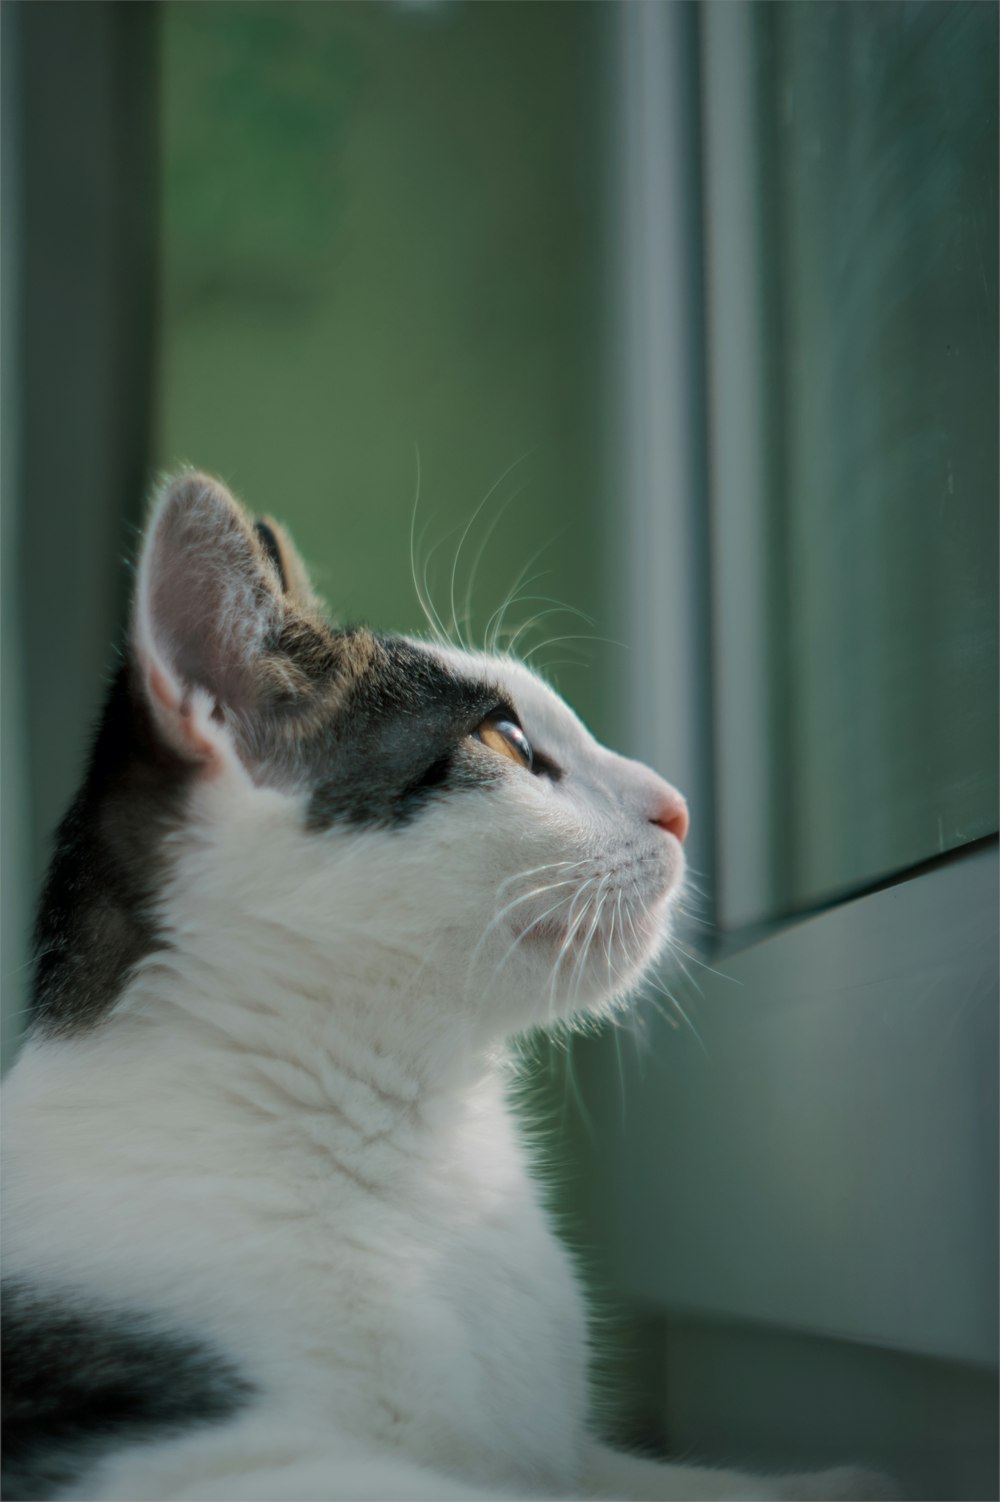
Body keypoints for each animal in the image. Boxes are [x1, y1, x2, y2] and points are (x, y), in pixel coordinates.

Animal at [0, 471, 888, 1502]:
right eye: (503, 739)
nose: (678, 808)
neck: (421, 1137)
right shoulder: (166, 1455)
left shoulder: (574, 1455)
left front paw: (843, 1482)